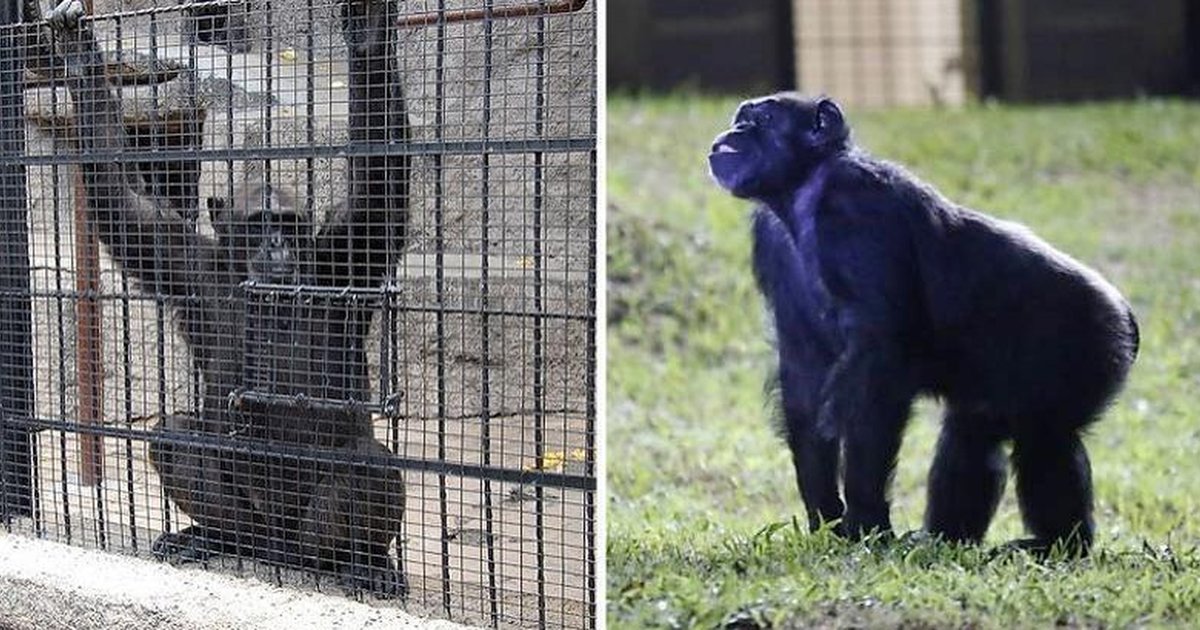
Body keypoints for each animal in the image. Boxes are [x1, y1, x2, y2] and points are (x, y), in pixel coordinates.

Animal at [705, 93, 1137, 554]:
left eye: (764, 118)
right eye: (742, 116)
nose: (734, 132)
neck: (803, 190)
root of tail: (1126, 316)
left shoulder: (857, 210)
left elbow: (877, 366)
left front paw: (866, 521)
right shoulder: (771, 242)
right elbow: (803, 374)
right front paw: (826, 517)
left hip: (1091, 344)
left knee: (1046, 439)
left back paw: (1058, 545)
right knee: (973, 434)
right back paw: (946, 539)